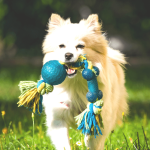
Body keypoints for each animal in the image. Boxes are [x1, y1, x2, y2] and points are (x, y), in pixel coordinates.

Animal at [42, 13, 127, 149]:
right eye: (61, 46)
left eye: (80, 46)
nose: (68, 55)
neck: (75, 83)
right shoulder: (58, 117)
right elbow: (64, 143)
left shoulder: (101, 116)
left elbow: (93, 139)